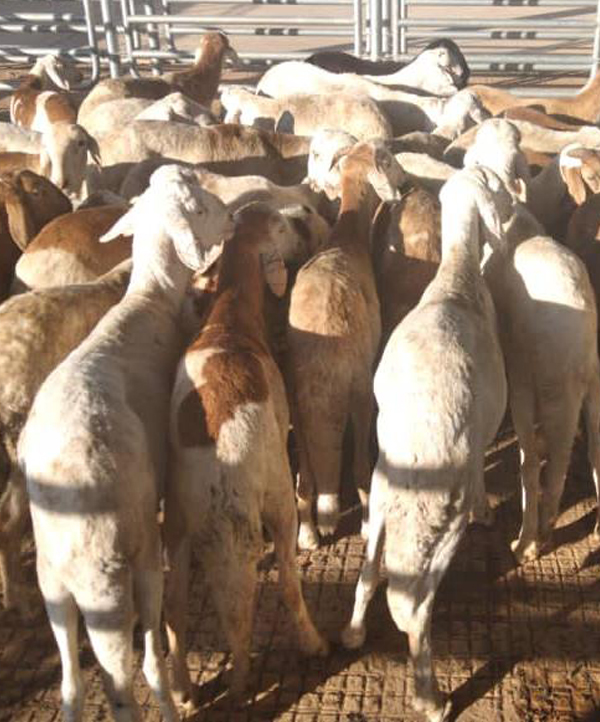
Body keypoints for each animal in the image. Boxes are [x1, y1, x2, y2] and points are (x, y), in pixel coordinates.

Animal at [18, 165, 235, 721]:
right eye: (196, 207)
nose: (231, 216)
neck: (148, 301)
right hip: (114, 581)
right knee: (124, 679)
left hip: (55, 584)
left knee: (72, 684)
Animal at [164, 202, 328, 707]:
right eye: (279, 225)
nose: (302, 209)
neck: (229, 320)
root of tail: (219, 487)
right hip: (273, 498)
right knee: (289, 583)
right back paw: (311, 644)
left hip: (176, 529)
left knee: (176, 613)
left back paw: (185, 690)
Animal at [287, 140, 403, 549]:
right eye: (390, 160)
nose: (406, 182)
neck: (346, 236)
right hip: (359, 390)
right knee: (359, 469)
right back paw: (362, 526)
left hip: (297, 408)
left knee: (305, 479)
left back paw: (307, 533)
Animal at [341, 165, 510, 722]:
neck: (455, 283)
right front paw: (487, 511)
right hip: (441, 523)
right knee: (414, 607)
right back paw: (429, 696)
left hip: (381, 500)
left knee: (370, 572)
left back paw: (352, 633)